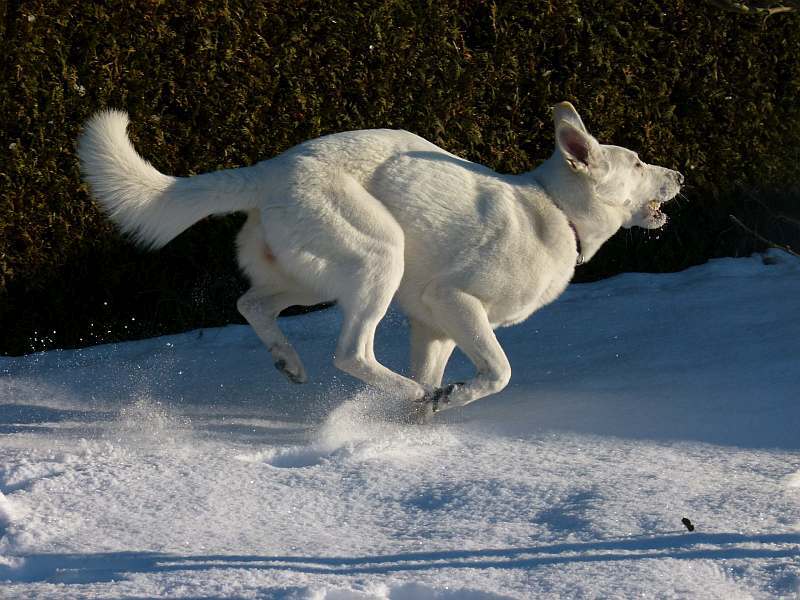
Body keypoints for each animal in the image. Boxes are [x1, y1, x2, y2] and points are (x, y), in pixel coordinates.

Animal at [79, 103, 680, 420]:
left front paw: (419, 418)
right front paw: (445, 397)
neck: (555, 208)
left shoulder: (435, 327)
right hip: (380, 257)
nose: (679, 174)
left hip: (314, 279)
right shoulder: (455, 302)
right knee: (350, 353)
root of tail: (271, 169)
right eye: (638, 162)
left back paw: (289, 362)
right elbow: (498, 372)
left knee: (252, 304)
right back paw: (399, 387)